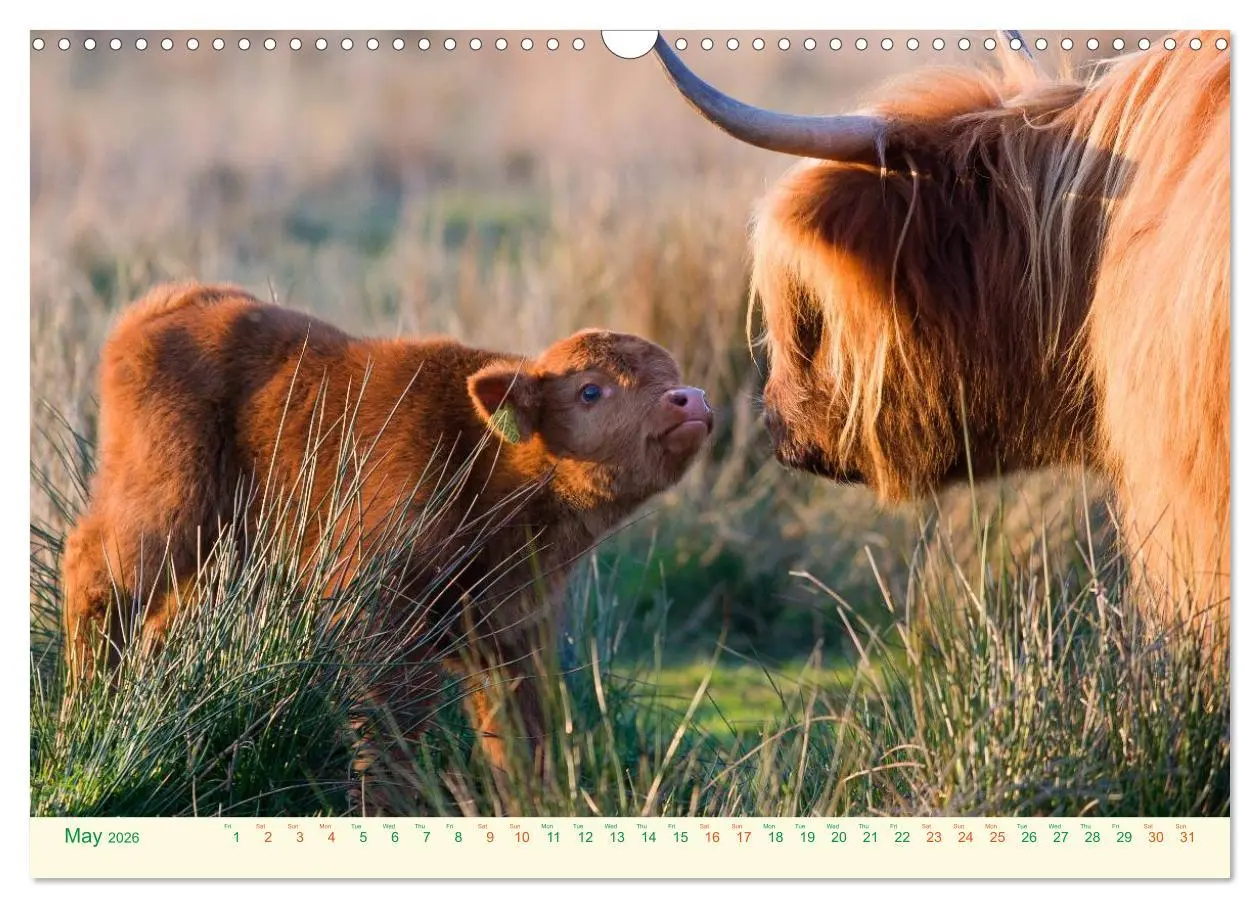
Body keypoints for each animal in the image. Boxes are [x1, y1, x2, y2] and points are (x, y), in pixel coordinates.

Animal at [61, 281, 713, 807]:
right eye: (590, 391)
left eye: (670, 373)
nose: (690, 400)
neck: (488, 466)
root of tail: (166, 305)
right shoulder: (378, 613)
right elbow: (392, 724)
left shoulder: (515, 631)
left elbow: (521, 730)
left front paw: (534, 804)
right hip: (166, 508)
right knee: (95, 578)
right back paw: (85, 711)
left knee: (163, 621)